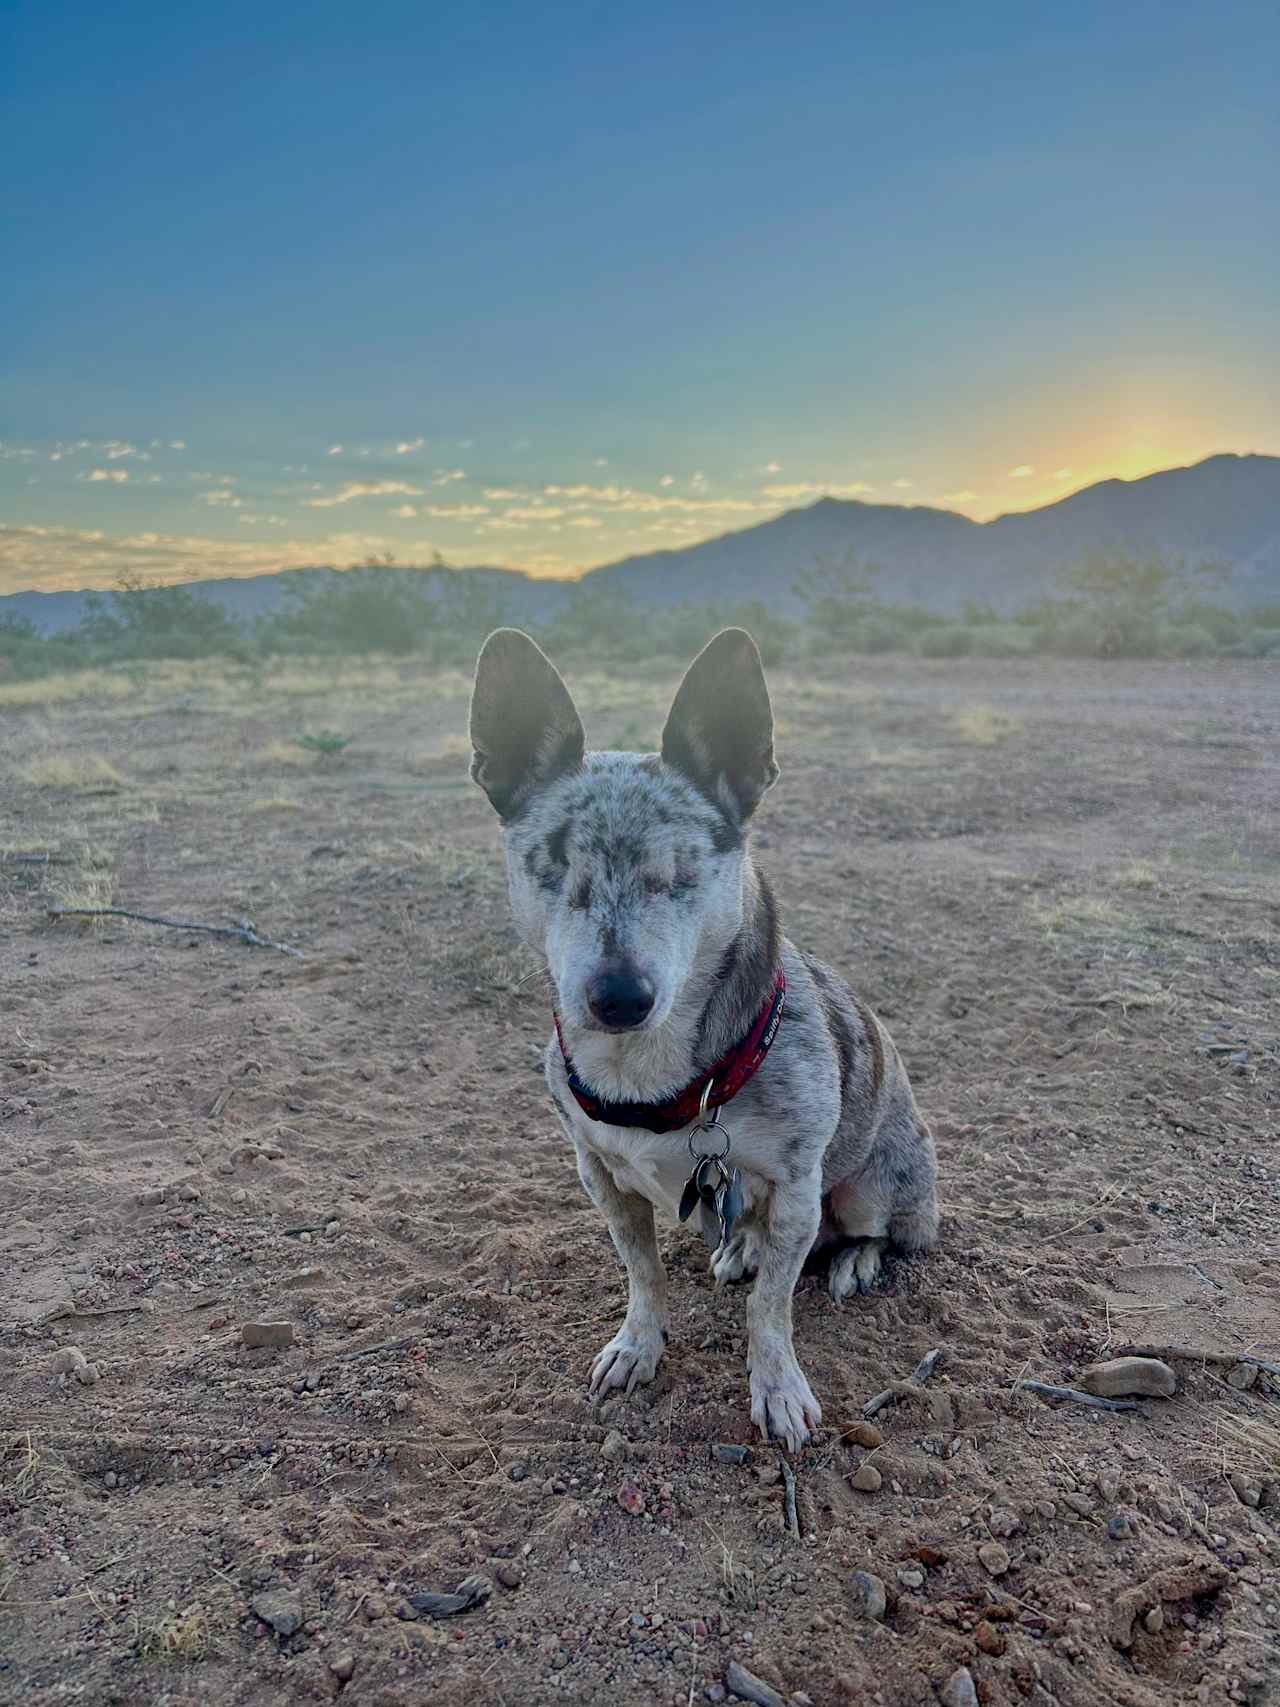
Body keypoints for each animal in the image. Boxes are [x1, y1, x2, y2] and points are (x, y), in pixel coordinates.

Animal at [471, 621, 942, 1447]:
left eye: (682, 872)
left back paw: (852, 1260)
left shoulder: (797, 1189)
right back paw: (739, 1246)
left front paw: (778, 1389)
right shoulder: (600, 1177)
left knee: (875, 1231)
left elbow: (771, 1308)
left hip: (872, 1186)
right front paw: (638, 1345)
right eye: (554, 867)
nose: (619, 996)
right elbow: (644, 1274)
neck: (648, 1076)